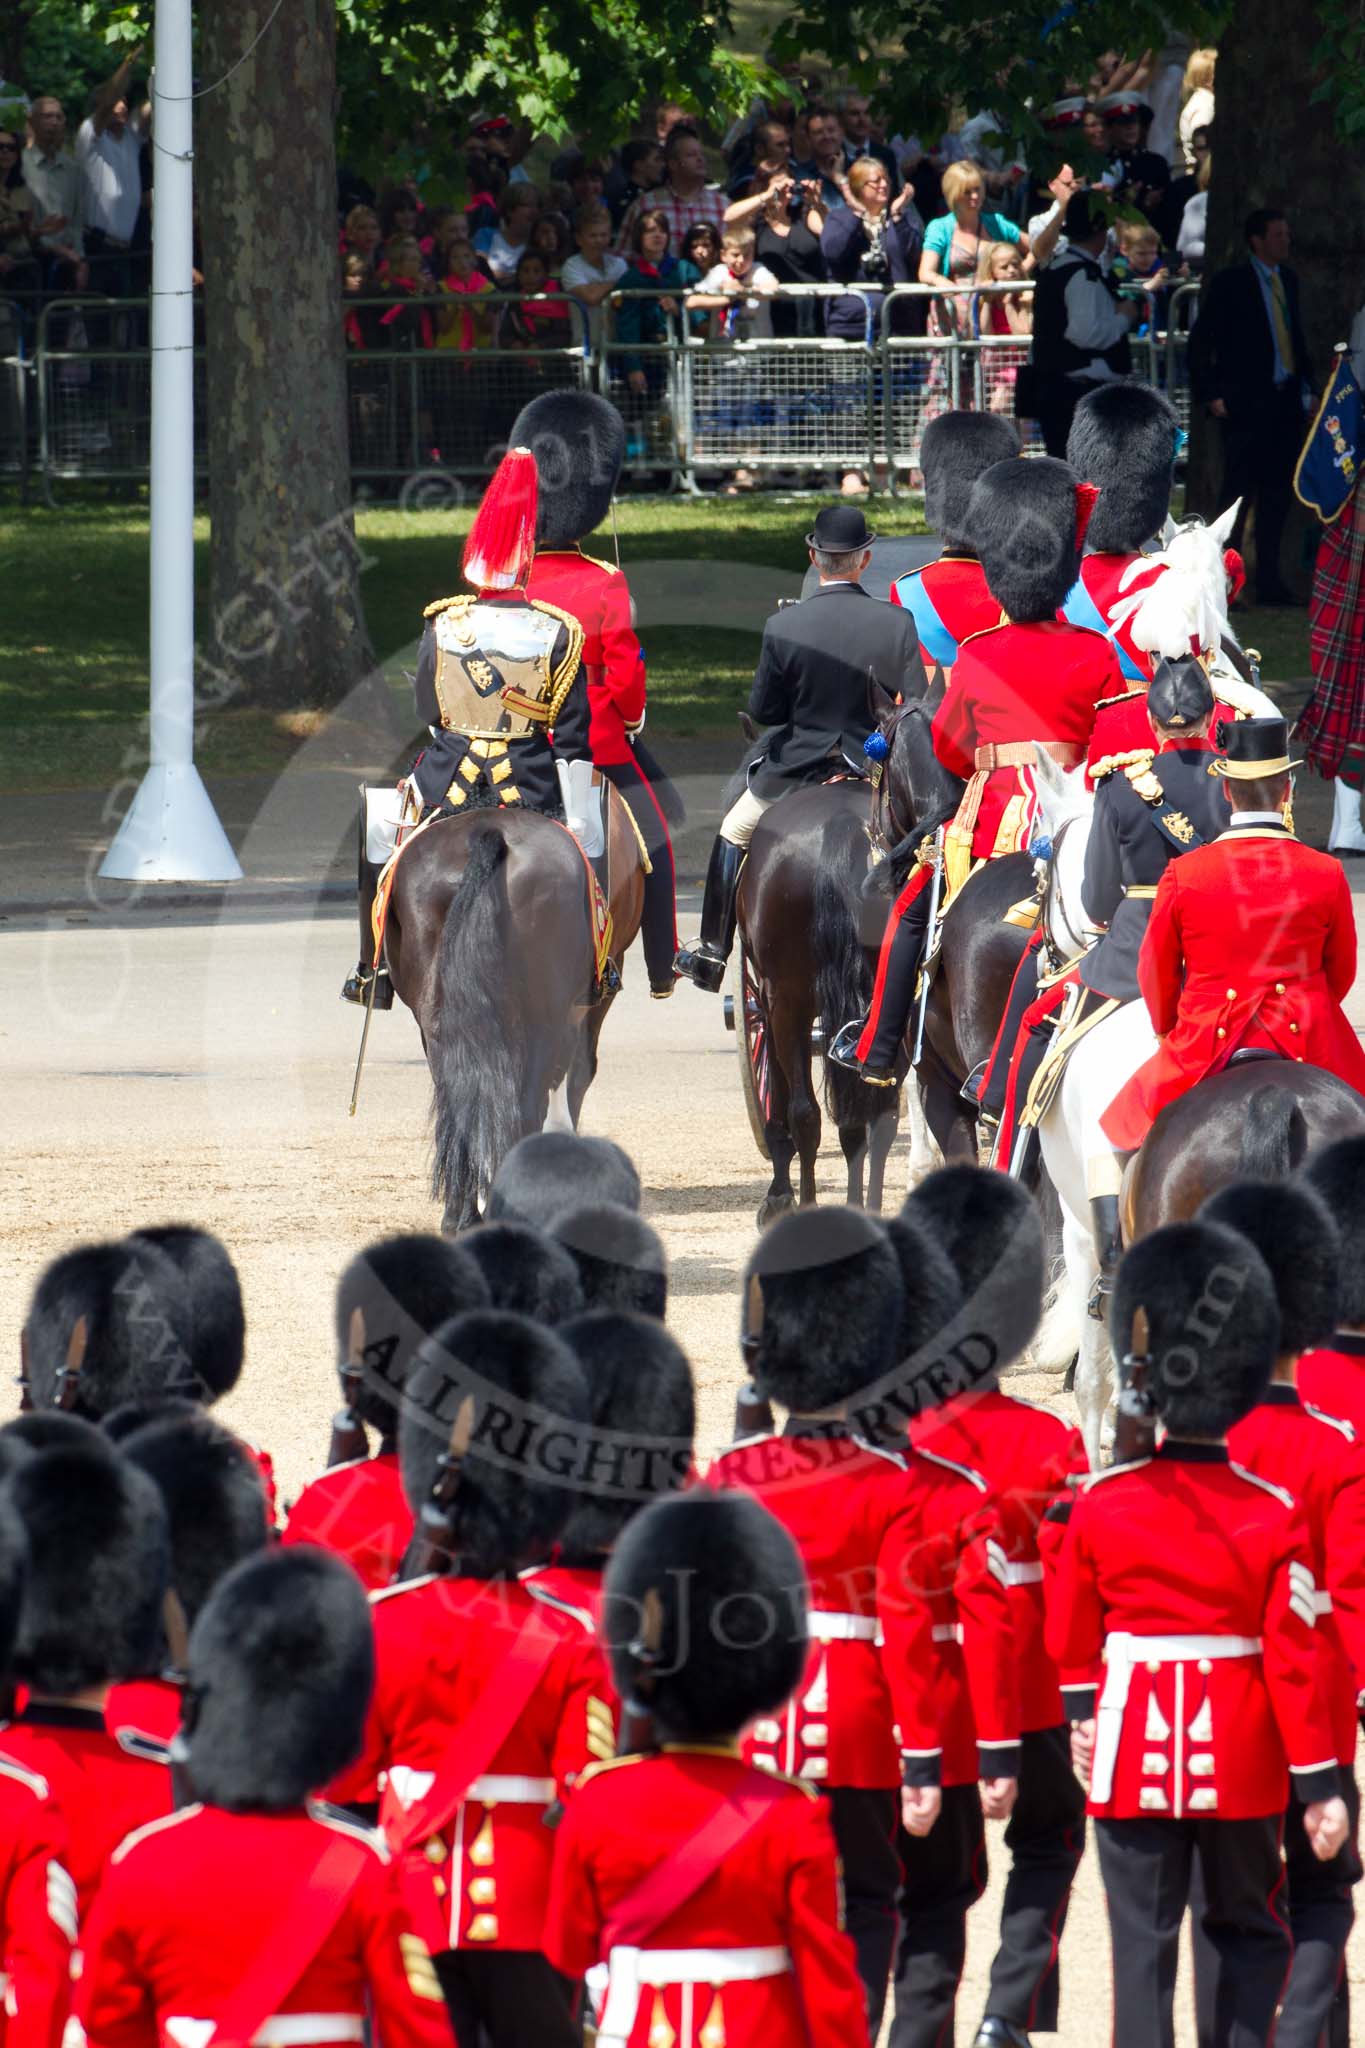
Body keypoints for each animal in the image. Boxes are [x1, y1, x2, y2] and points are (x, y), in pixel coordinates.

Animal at [378, 790, 646, 1220]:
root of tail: (489, 834)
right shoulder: (588, 1002)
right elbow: (575, 1077)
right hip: (544, 1016)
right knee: (530, 1100)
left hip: (440, 1019)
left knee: (459, 1098)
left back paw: (461, 1215)